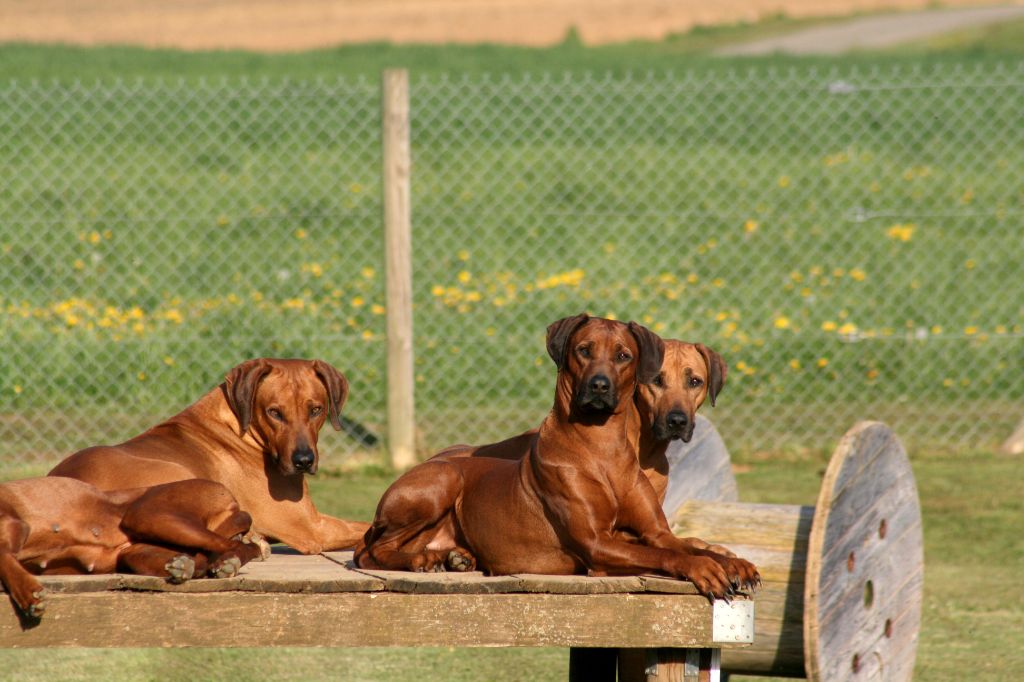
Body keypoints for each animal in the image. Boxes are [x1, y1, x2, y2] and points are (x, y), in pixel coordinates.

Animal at [0, 475, 268, 618]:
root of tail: (227, 493)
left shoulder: (16, 525)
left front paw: (28, 594)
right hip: (134, 551)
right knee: (199, 561)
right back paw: (187, 565)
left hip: (148, 513)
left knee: (238, 546)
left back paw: (229, 562)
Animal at [48, 356, 368, 552]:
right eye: (274, 413)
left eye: (316, 410)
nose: (303, 461)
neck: (240, 425)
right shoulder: (312, 528)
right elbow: (364, 527)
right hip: (182, 475)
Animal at [356, 315, 757, 598]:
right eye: (584, 349)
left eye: (623, 356)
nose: (599, 385)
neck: (604, 449)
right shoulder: (596, 544)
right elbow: (669, 555)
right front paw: (705, 568)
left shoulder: (654, 531)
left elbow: (684, 545)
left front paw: (733, 562)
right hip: (444, 477)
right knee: (372, 551)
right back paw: (423, 559)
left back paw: (452, 557)